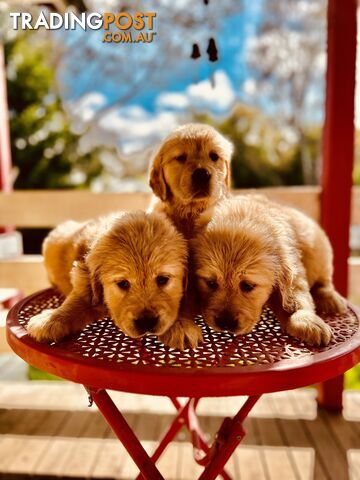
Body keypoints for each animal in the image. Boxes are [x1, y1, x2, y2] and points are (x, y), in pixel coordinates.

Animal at [26, 211, 201, 348]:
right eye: (123, 283)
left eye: (163, 279)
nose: (146, 321)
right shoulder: (84, 279)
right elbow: (75, 301)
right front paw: (50, 320)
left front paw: (180, 325)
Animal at [191, 194, 346, 344]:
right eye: (211, 283)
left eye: (248, 286)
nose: (225, 324)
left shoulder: (293, 269)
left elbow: (298, 295)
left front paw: (307, 321)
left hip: (319, 251)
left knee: (324, 281)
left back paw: (330, 299)